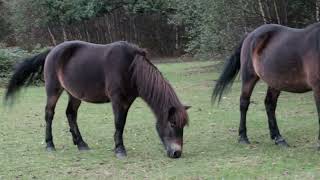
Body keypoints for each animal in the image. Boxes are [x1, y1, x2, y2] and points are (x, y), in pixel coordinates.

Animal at [5, 40, 190, 158]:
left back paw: (81, 143)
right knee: (49, 114)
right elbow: (119, 123)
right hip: (53, 90)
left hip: (74, 94)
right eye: (172, 123)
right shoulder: (117, 100)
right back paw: (50, 145)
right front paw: (120, 150)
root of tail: (51, 51)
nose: (177, 153)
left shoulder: (127, 101)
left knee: (71, 114)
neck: (131, 68)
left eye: (183, 126)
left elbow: (121, 123)